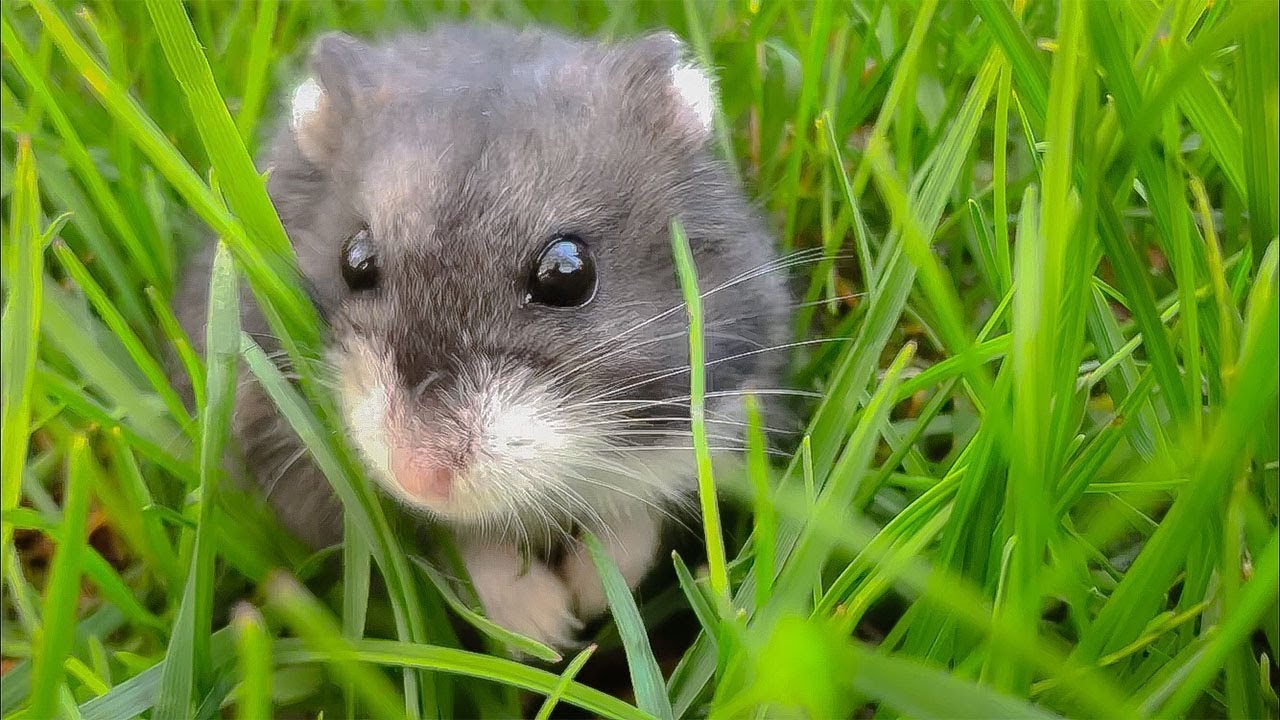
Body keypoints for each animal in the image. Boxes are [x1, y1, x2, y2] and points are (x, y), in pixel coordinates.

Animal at [175, 25, 783, 648]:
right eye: (354, 260)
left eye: (568, 273)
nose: (417, 476)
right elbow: (465, 549)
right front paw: (548, 630)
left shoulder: (709, 415)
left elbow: (632, 521)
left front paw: (591, 607)